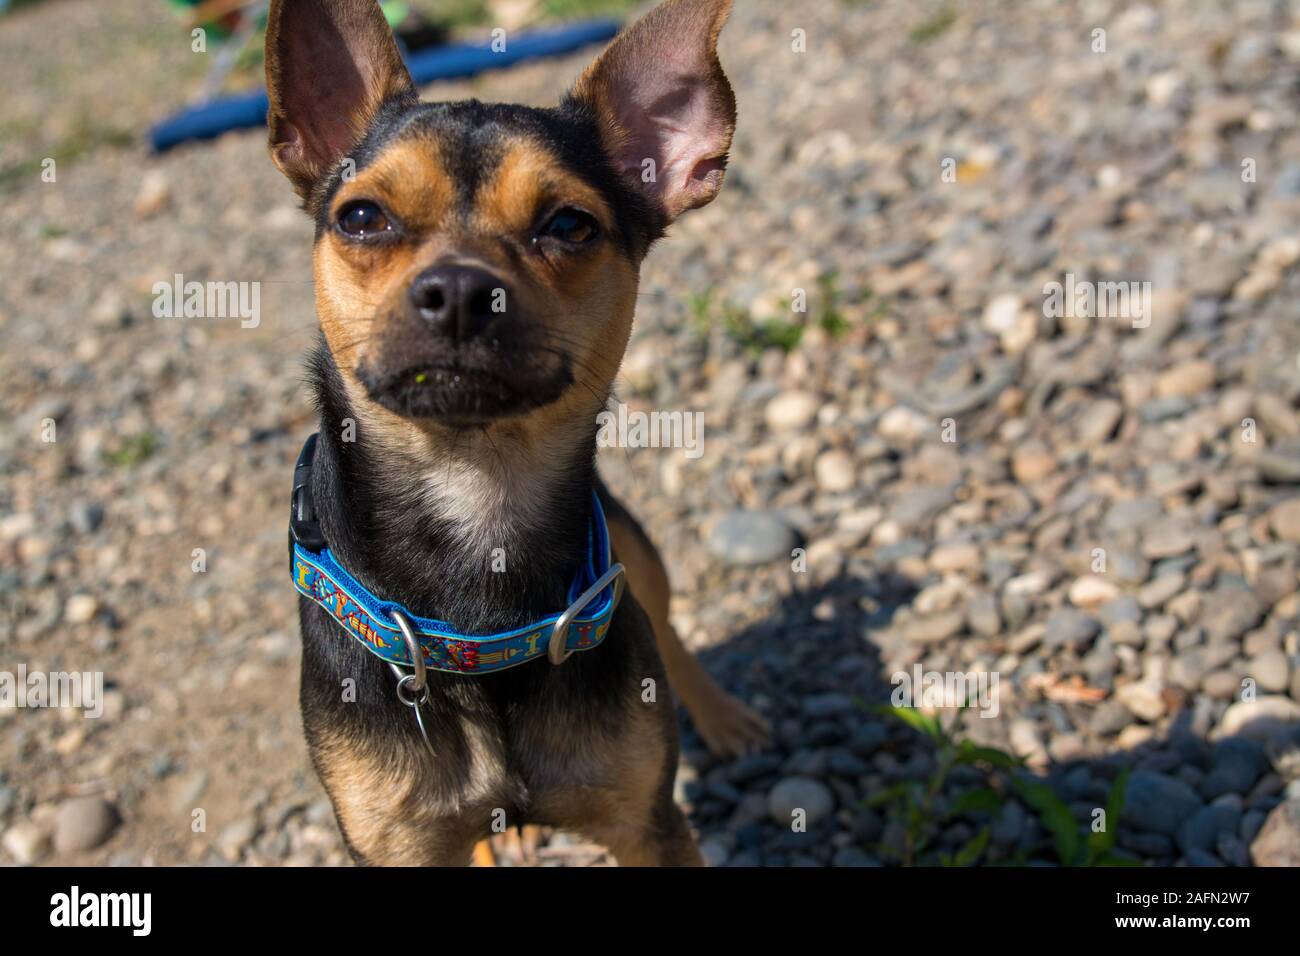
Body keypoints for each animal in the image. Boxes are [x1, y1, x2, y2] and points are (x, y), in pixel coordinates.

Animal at [267, 0, 764, 868]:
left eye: (570, 225)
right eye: (361, 217)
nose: (463, 290)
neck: (478, 494)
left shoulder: (650, 826)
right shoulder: (397, 845)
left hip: (633, 548)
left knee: (668, 623)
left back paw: (722, 715)